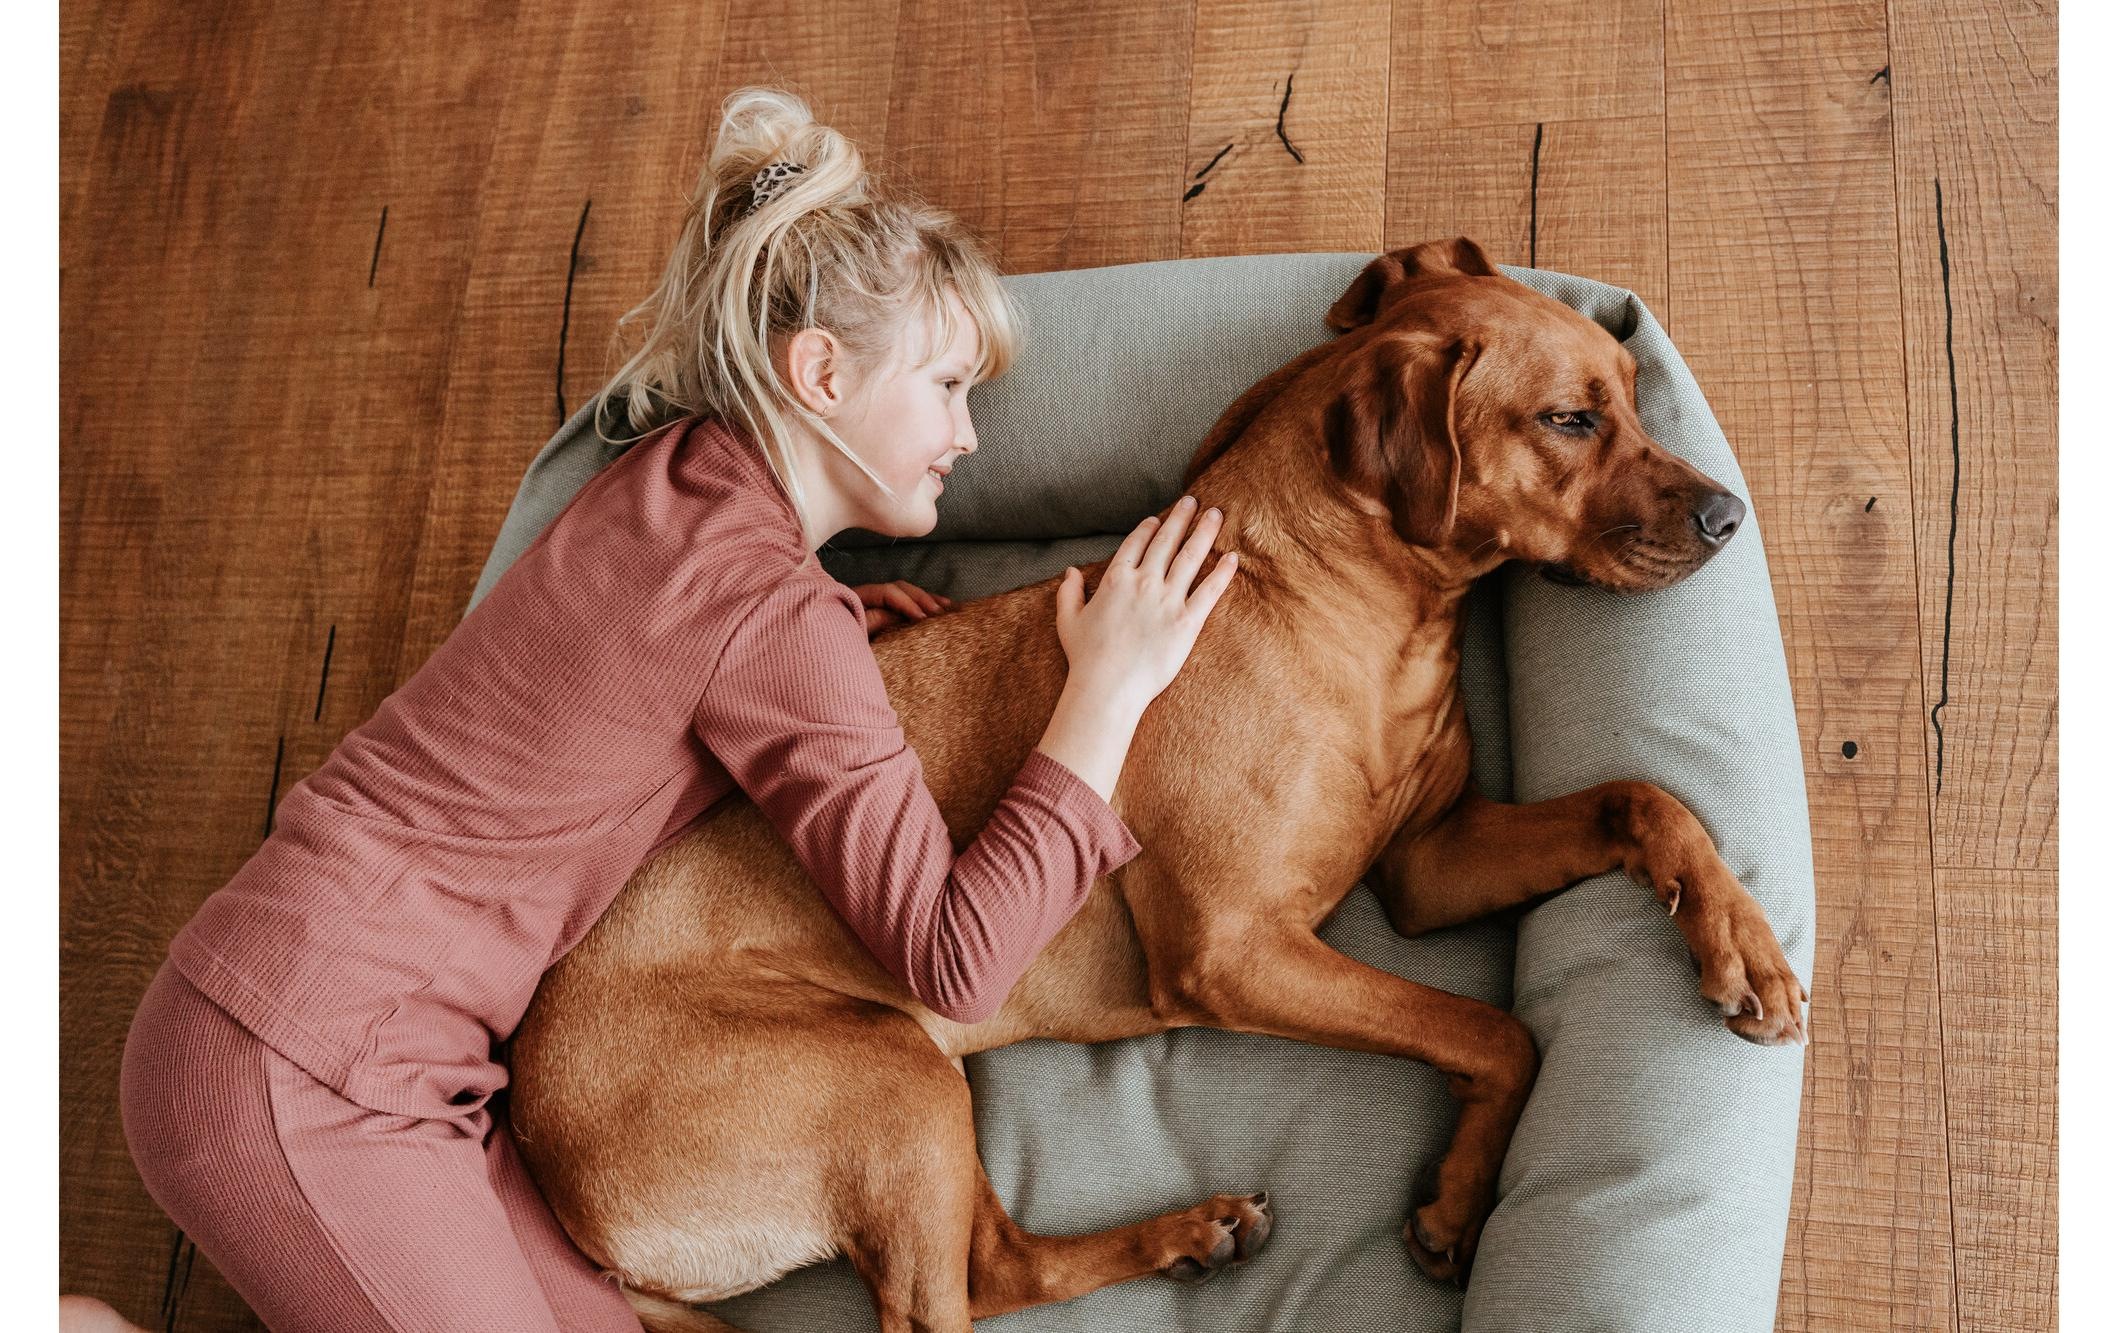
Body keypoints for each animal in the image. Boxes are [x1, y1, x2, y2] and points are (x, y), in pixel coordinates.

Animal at [508, 239, 1804, 1330]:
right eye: (1569, 420)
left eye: (1632, 392)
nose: (1732, 514)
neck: (1350, 607)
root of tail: (557, 1193)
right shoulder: (1234, 949)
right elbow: (1492, 1027)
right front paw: (1456, 1198)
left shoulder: (1428, 863)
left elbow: (1641, 795)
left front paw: (1744, 945)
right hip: (882, 1076)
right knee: (937, 1306)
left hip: (921, 1083)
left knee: (998, 1267)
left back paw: (1190, 1232)